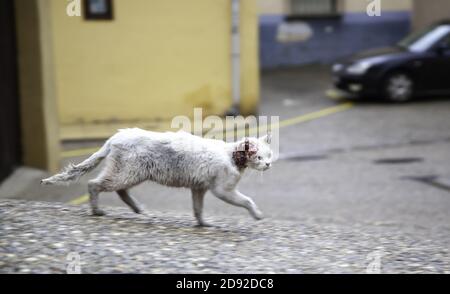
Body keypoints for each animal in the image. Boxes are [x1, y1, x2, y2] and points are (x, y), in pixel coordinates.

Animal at [42, 127, 272, 226]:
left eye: (269, 155)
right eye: (259, 157)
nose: (268, 164)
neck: (231, 156)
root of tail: (115, 137)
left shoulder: (198, 188)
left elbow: (197, 209)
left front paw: (203, 224)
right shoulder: (222, 190)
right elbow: (247, 201)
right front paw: (258, 215)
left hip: (130, 173)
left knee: (120, 191)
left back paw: (138, 209)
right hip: (128, 172)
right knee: (94, 184)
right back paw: (97, 211)